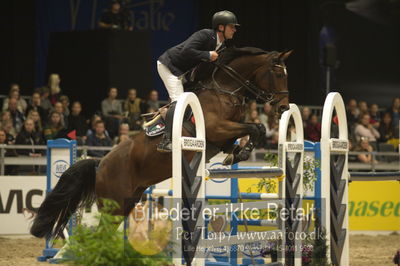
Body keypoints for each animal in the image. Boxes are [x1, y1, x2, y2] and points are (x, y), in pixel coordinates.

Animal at [30, 47, 290, 239]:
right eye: (278, 74)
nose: (284, 108)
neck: (223, 90)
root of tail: (99, 164)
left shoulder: (223, 136)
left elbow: (253, 130)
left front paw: (235, 154)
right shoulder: (216, 128)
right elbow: (255, 127)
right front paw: (242, 153)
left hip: (127, 202)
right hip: (114, 203)